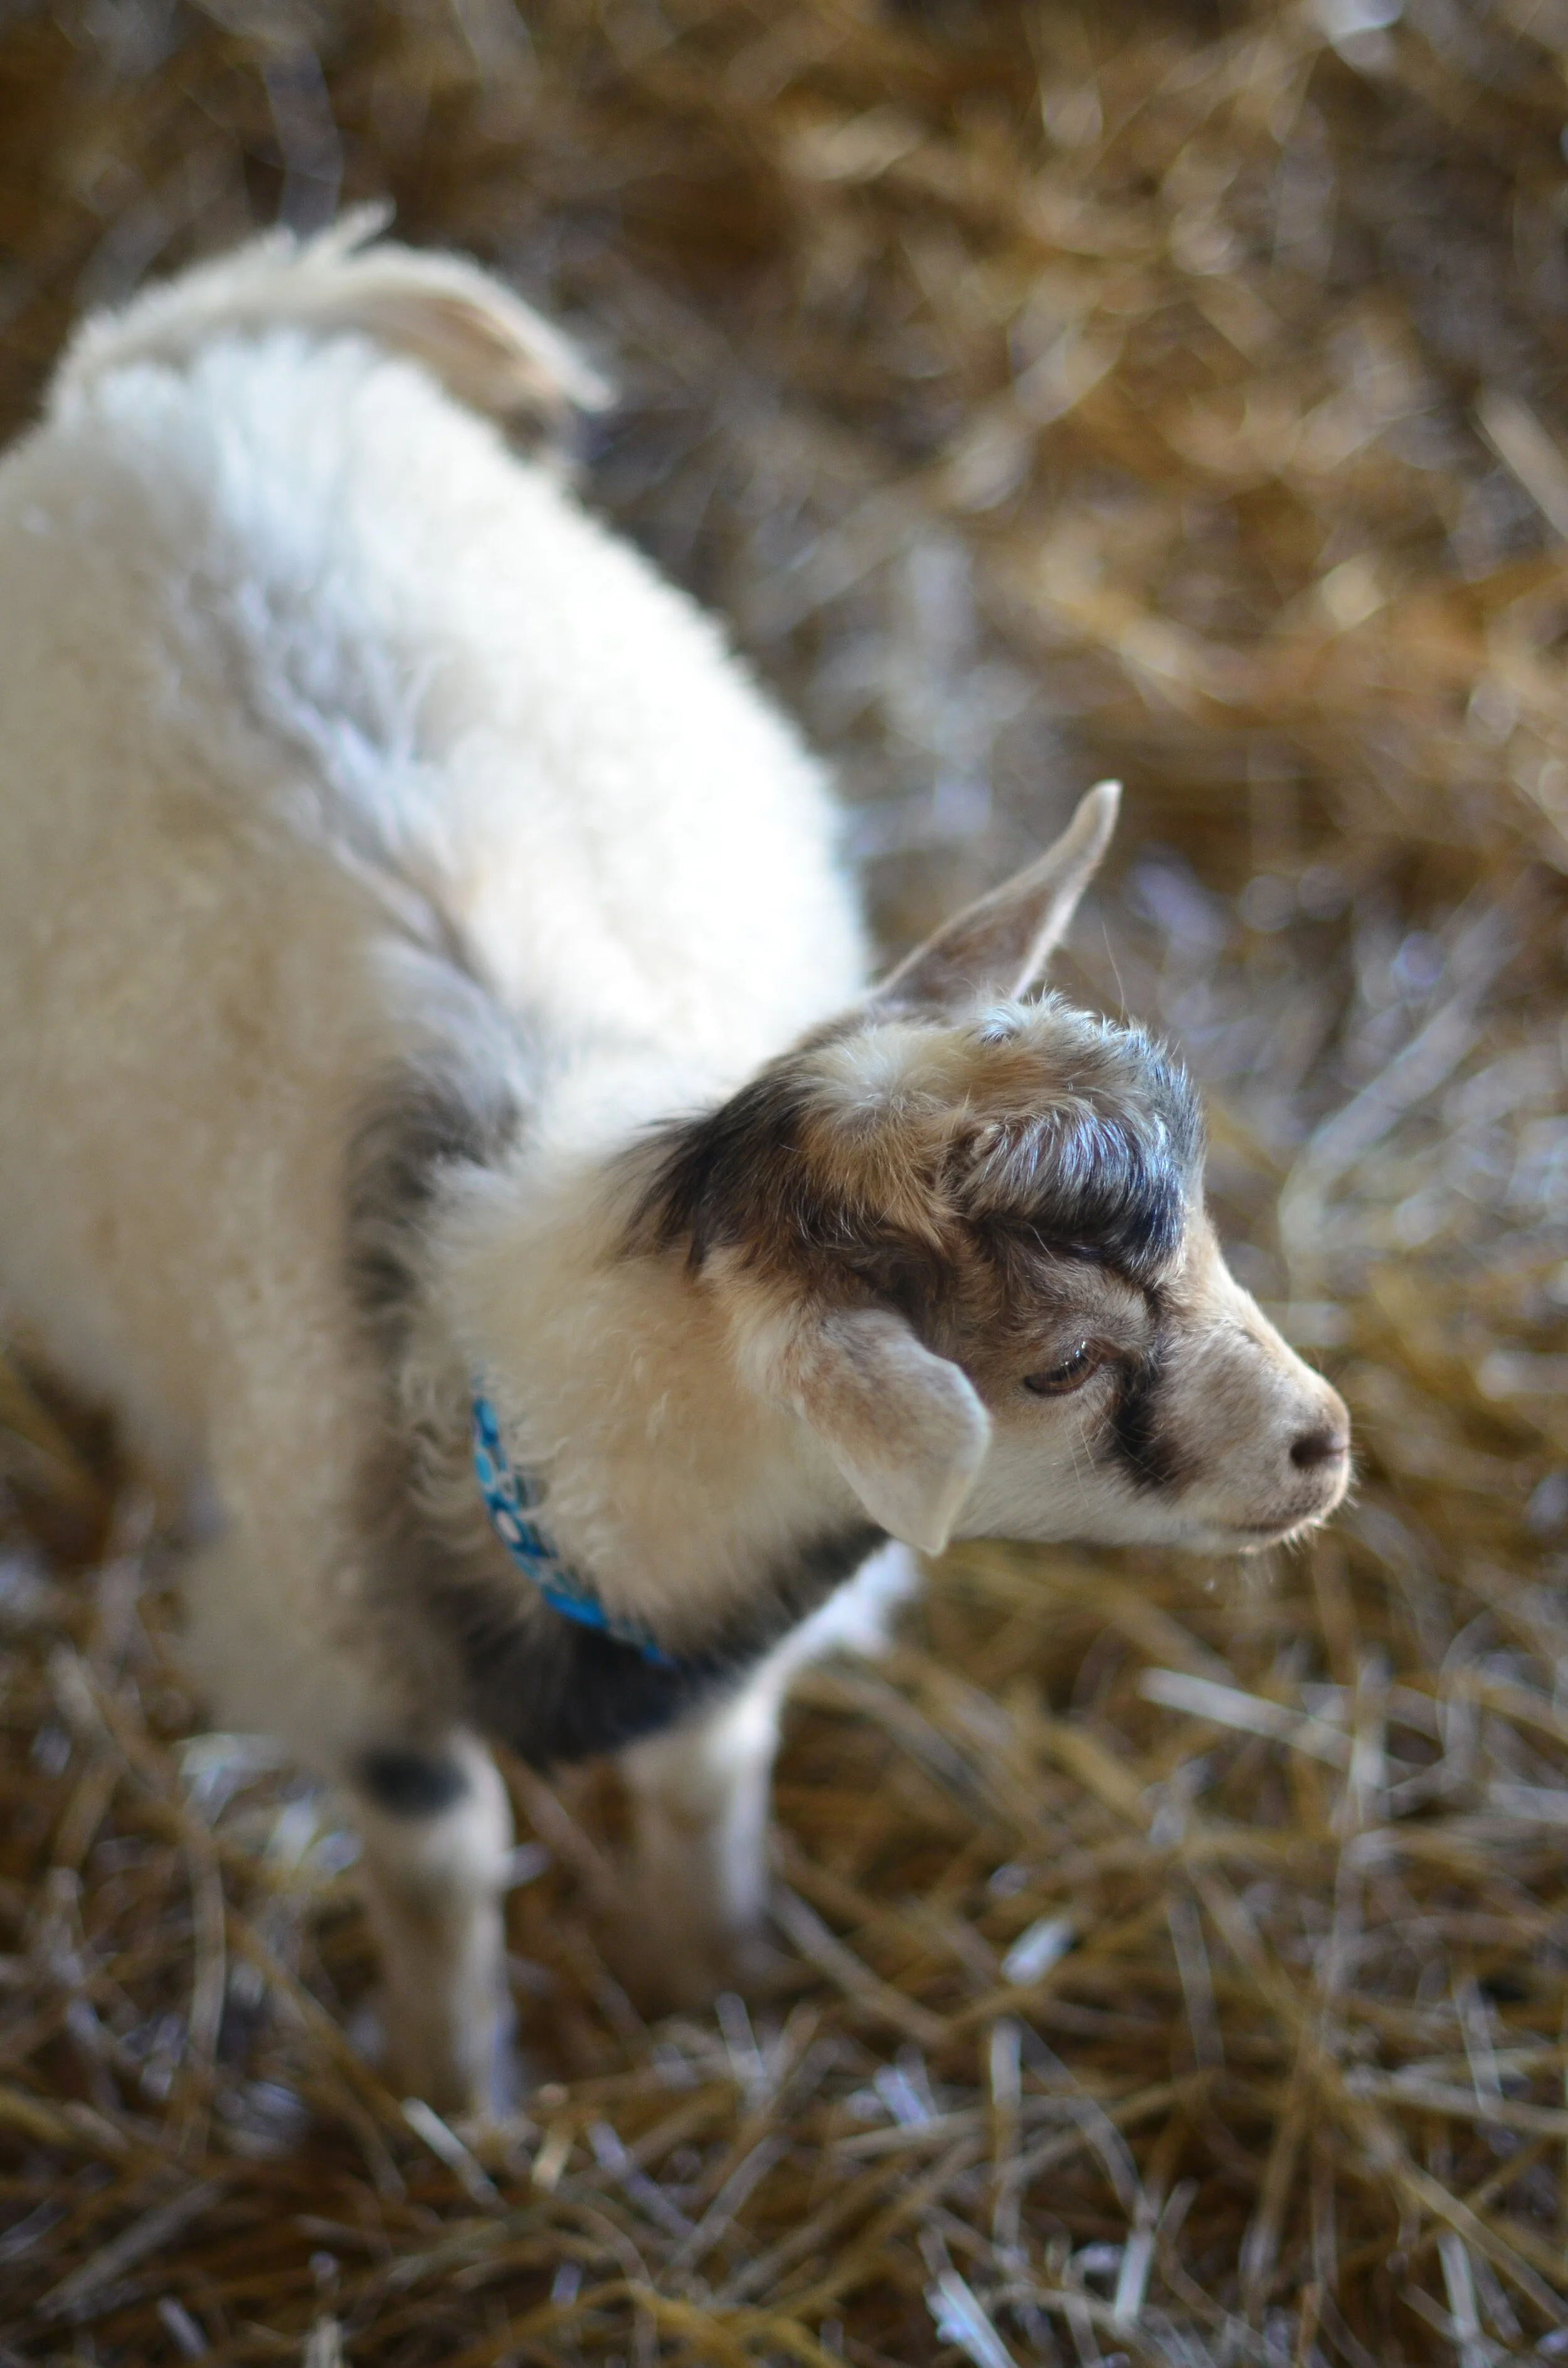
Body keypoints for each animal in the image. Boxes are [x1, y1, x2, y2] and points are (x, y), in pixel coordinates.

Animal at [0, 221, 1350, 2115]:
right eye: (1056, 1366)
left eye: (1210, 1228)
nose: (1323, 1442)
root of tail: (179, 375)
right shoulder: (348, 1664)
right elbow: (441, 1866)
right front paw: (458, 2092)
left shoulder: (721, 1646)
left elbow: (707, 1787)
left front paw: (710, 1977)